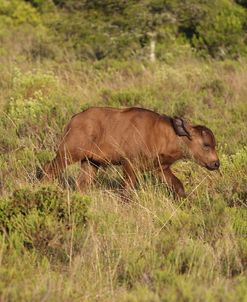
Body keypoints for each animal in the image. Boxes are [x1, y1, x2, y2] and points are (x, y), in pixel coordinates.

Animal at [40, 107, 220, 198]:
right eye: (206, 145)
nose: (216, 163)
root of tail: (75, 118)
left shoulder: (160, 168)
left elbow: (178, 185)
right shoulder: (129, 165)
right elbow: (127, 190)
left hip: (91, 163)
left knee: (82, 183)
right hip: (68, 154)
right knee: (50, 169)